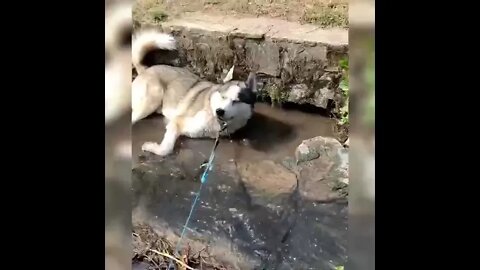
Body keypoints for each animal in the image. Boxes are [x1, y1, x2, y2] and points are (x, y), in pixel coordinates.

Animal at [131, 28, 258, 156]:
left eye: (236, 101)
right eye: (223, 97)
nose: (219, 111)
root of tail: (146, 70)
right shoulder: (177, 122)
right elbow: (166, 148)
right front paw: (152, 148)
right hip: (149, 102)